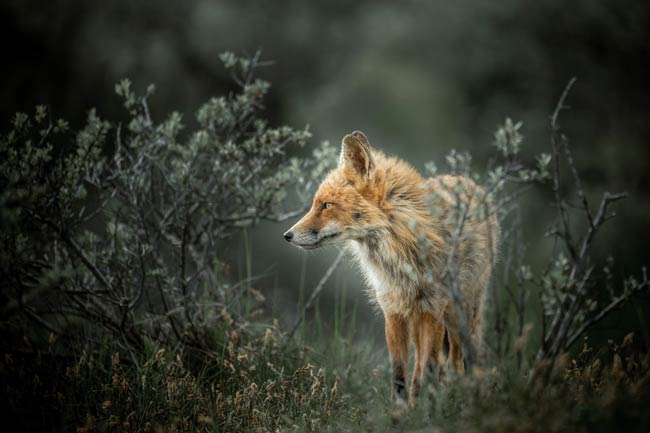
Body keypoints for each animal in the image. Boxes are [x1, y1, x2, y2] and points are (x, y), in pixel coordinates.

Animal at [282, 131, 496, 404]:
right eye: (315, 204)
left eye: (327, 205)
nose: (287, 235)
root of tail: (467, 181)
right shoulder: (394, 311)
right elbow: (400, 376)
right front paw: (403, 410)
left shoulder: (433, 310)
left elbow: (426, 370)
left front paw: (423, 410)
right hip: (421, 319)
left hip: (459, 313)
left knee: (456, 362)